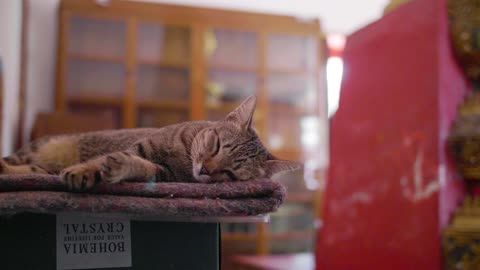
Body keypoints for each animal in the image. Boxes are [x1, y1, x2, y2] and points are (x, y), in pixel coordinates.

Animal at [0, 96, 300, 191]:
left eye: (230, 173)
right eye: (216, 145)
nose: (204, 170)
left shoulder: (163, 175)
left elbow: (140, 167)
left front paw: (120, 167)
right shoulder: (139, 147)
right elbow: (99, 161)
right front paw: (84, 170)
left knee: (35, 170)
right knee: (21, 164)